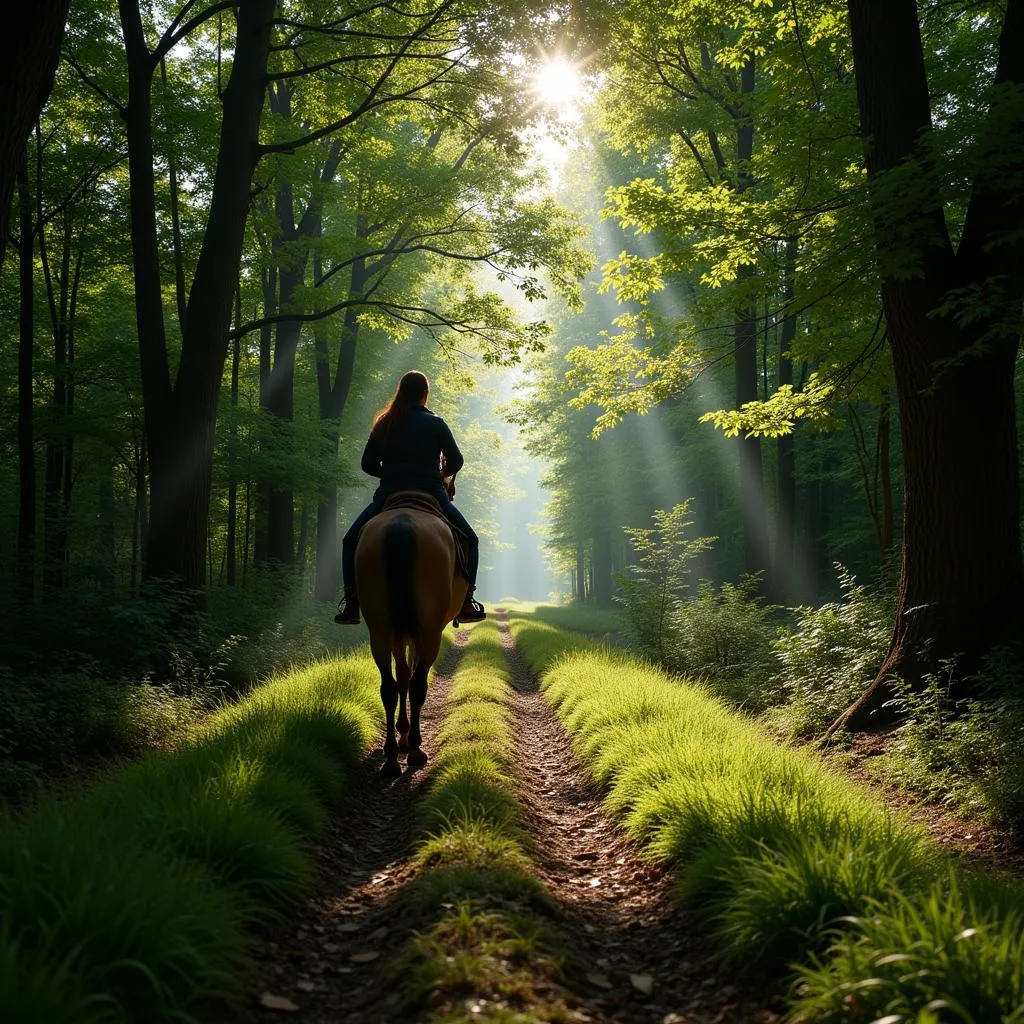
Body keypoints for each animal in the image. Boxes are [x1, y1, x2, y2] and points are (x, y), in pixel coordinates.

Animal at [356, 493, 468, 774]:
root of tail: (402, 523)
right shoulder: (420, 634)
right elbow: (411, 676)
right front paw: (407, 738)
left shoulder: (401, 635)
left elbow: (402, 676)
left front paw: (402, 736)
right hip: (429, 632)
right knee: (418, 685)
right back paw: (416, 750)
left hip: (380, 629)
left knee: (389, 688)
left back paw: (391, 759)